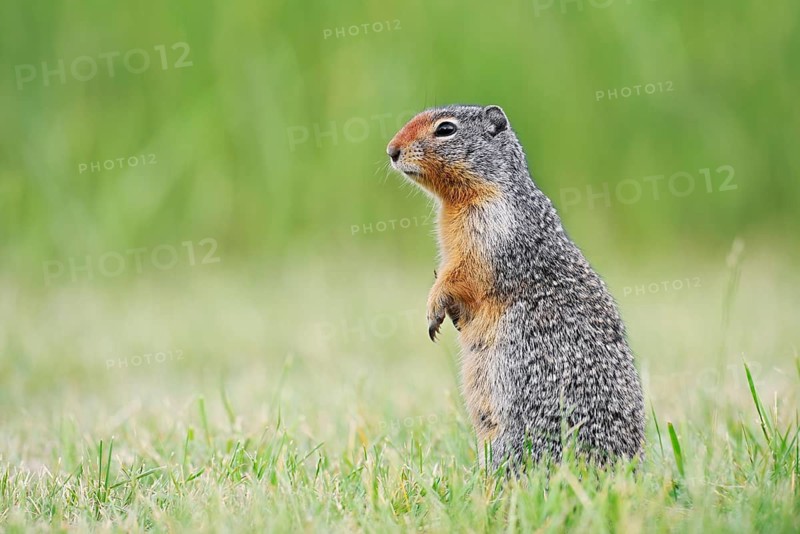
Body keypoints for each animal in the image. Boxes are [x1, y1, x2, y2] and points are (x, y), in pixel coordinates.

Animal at [386, 104, 645, 469]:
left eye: (446, 129)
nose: (391, 150)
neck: (461, 199)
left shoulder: (490, 231)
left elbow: (462, 275)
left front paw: (434, 310)